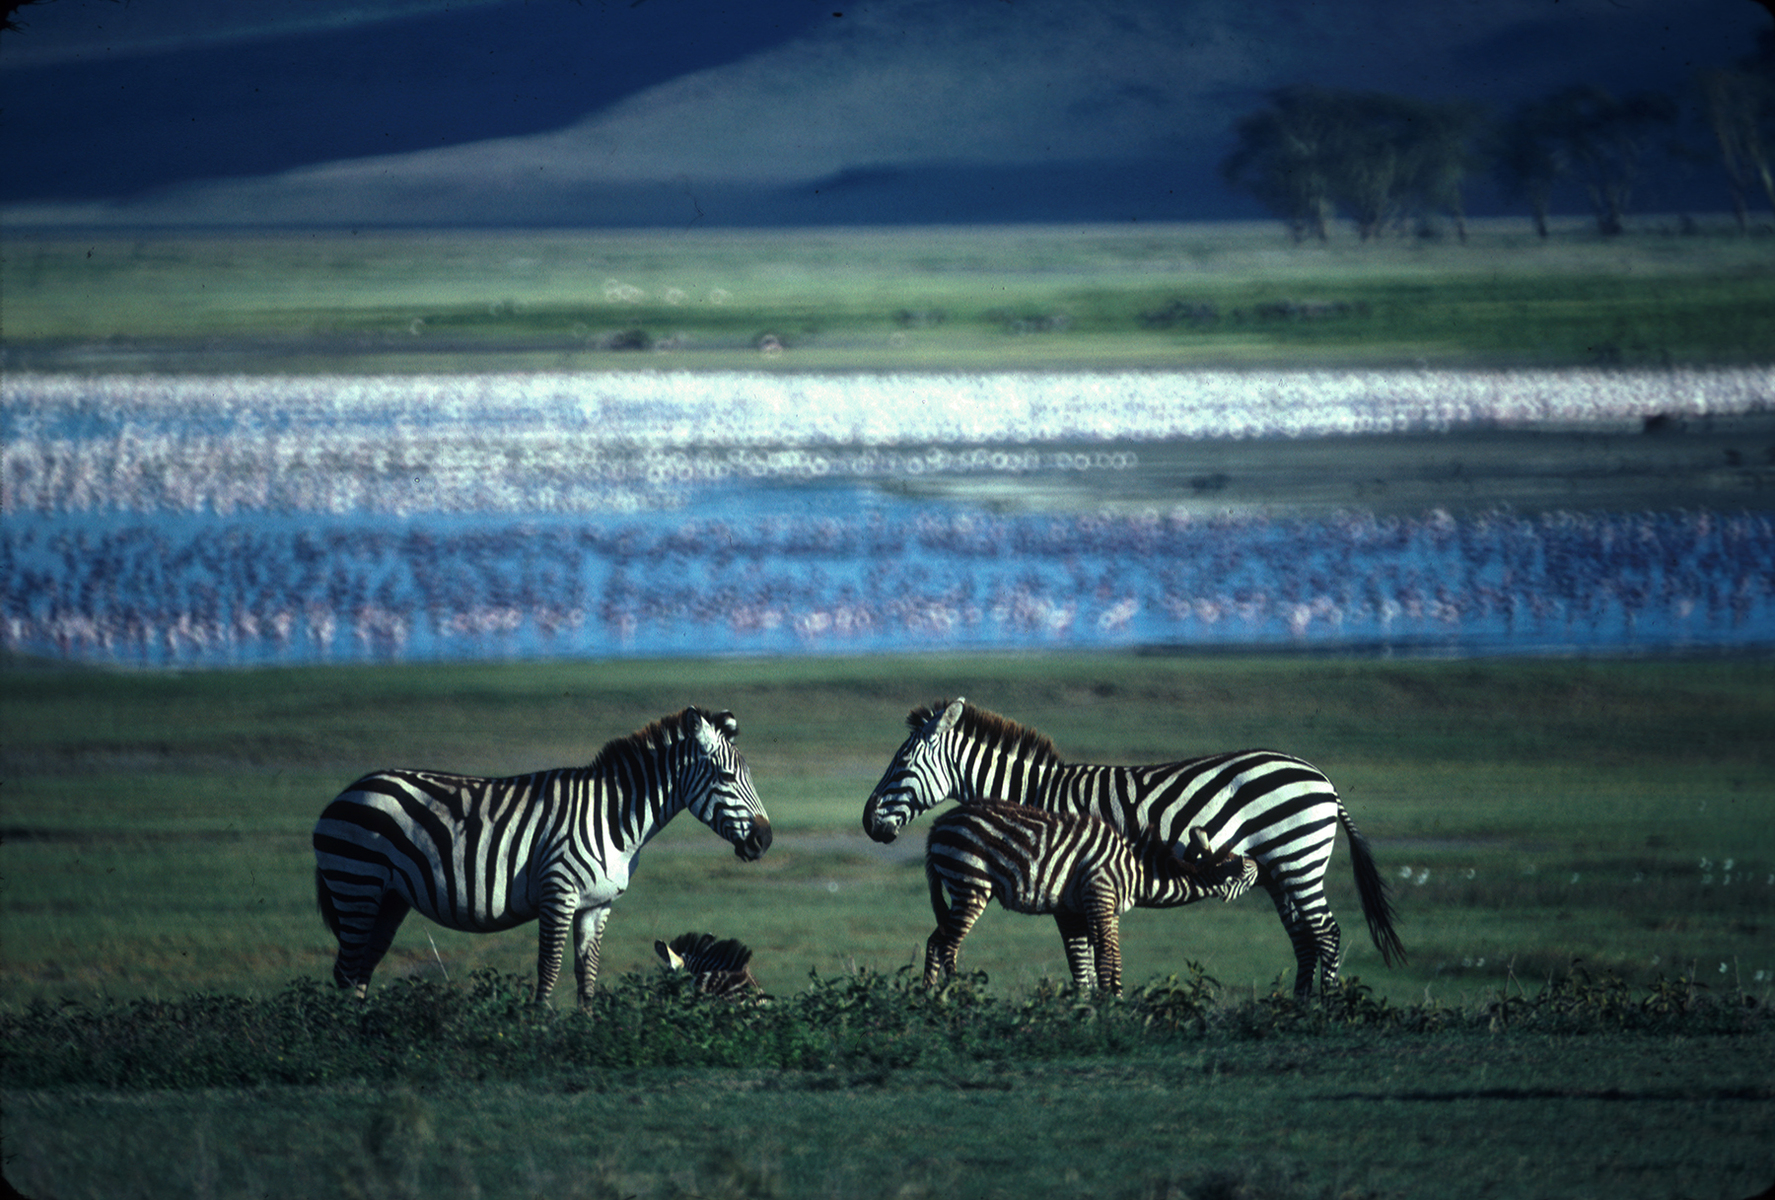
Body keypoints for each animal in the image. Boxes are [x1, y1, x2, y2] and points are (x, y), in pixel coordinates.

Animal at [315, 706, 773, 1008]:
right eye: (727, 777)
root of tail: (349, 790)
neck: (614, 818)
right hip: (356, 883)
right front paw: (537, 1034)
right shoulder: (559, 894)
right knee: (347, 971)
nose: (765, 839)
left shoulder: (597, 904)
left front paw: (586, 1034)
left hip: (390, 898)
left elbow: (587, 975)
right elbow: (548, 970)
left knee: (361, 969)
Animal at [923, 795, 1256, 994]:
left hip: (961, 888)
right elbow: (1104, 958)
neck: (1137, 870)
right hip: (970, 884)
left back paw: (930, 997)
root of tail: (938, 823)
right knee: (948, 944)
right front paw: (1109, 1005)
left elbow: (1114, 959)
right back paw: (959, 996)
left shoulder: (1109, 908)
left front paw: (1115, 1001)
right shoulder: (1099, 896)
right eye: (1249, 876)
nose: (1262, 867)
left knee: (936, 940)